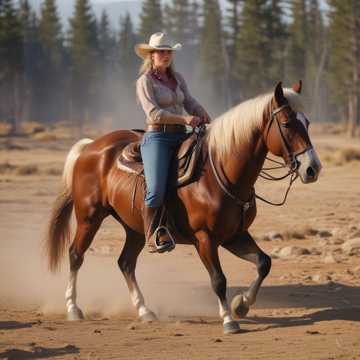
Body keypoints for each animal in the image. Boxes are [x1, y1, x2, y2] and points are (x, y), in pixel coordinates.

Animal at [45, 81, 320, 334]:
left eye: (307, 122)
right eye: (287, 124)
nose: (312, 168)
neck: (219, 172)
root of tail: (90, 147)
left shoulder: (235, 235)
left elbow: (264, 263)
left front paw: (241, 304)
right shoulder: (204, 238)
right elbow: (218, 279)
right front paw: (229, 320)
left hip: (135, 229)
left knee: (125, 263)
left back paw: (144, 310)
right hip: (89, 217)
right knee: (76, 255)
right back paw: (73, 308)